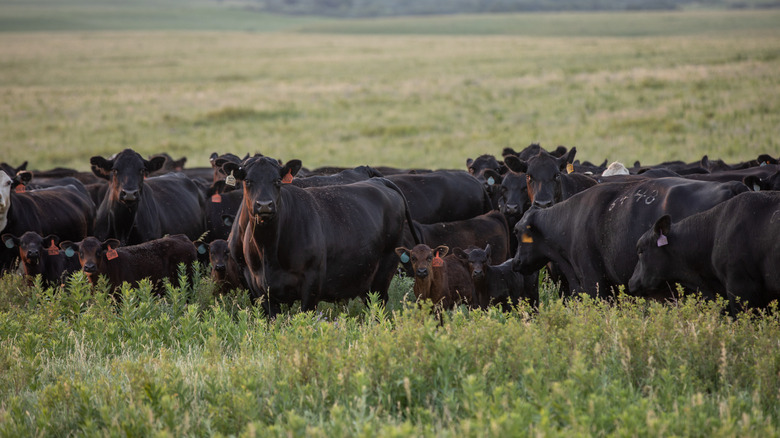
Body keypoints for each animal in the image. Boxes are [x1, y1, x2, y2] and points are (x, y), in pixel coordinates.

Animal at [222, 156, 420, 316]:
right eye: (248, 180)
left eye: (278, 181)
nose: (264, 205)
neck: (268, 250)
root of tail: (379, 181)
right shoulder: (259, 288)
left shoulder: (312, 281)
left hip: (385, 267)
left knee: (378, 303)